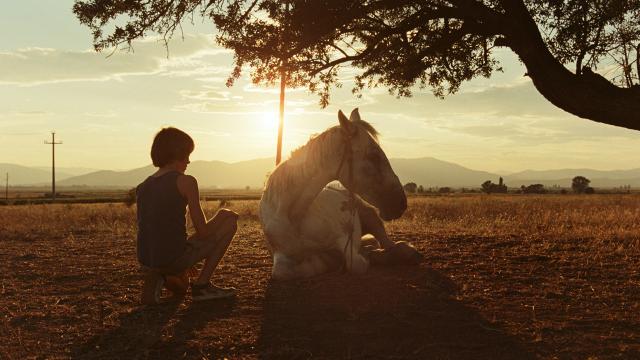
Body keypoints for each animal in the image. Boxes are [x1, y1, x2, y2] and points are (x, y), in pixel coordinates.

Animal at [258, 108, 422, 280]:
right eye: (374, 156)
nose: (401, 203)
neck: (295, 217)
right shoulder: (281, 255)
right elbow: (283, 271)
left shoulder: (344, 240)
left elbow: (356, 264)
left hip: (371, 217)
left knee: (390, 245)